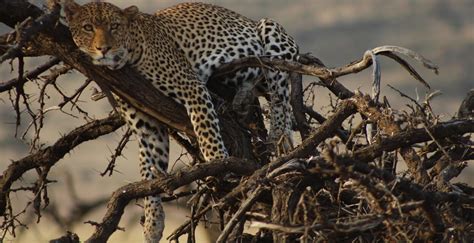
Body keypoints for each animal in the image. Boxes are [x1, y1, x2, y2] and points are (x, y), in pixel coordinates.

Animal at [61, 0, 298, 242]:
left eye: (114, 26)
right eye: (88, 27)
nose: (104, 49)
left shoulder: (192, 88)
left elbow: (207, 133)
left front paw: (221, 165)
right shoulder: (147, 127)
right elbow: (149, 171)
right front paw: (153, 222)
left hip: (272, 37)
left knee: (281, 98)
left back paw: (277, 138)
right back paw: (241, 101)